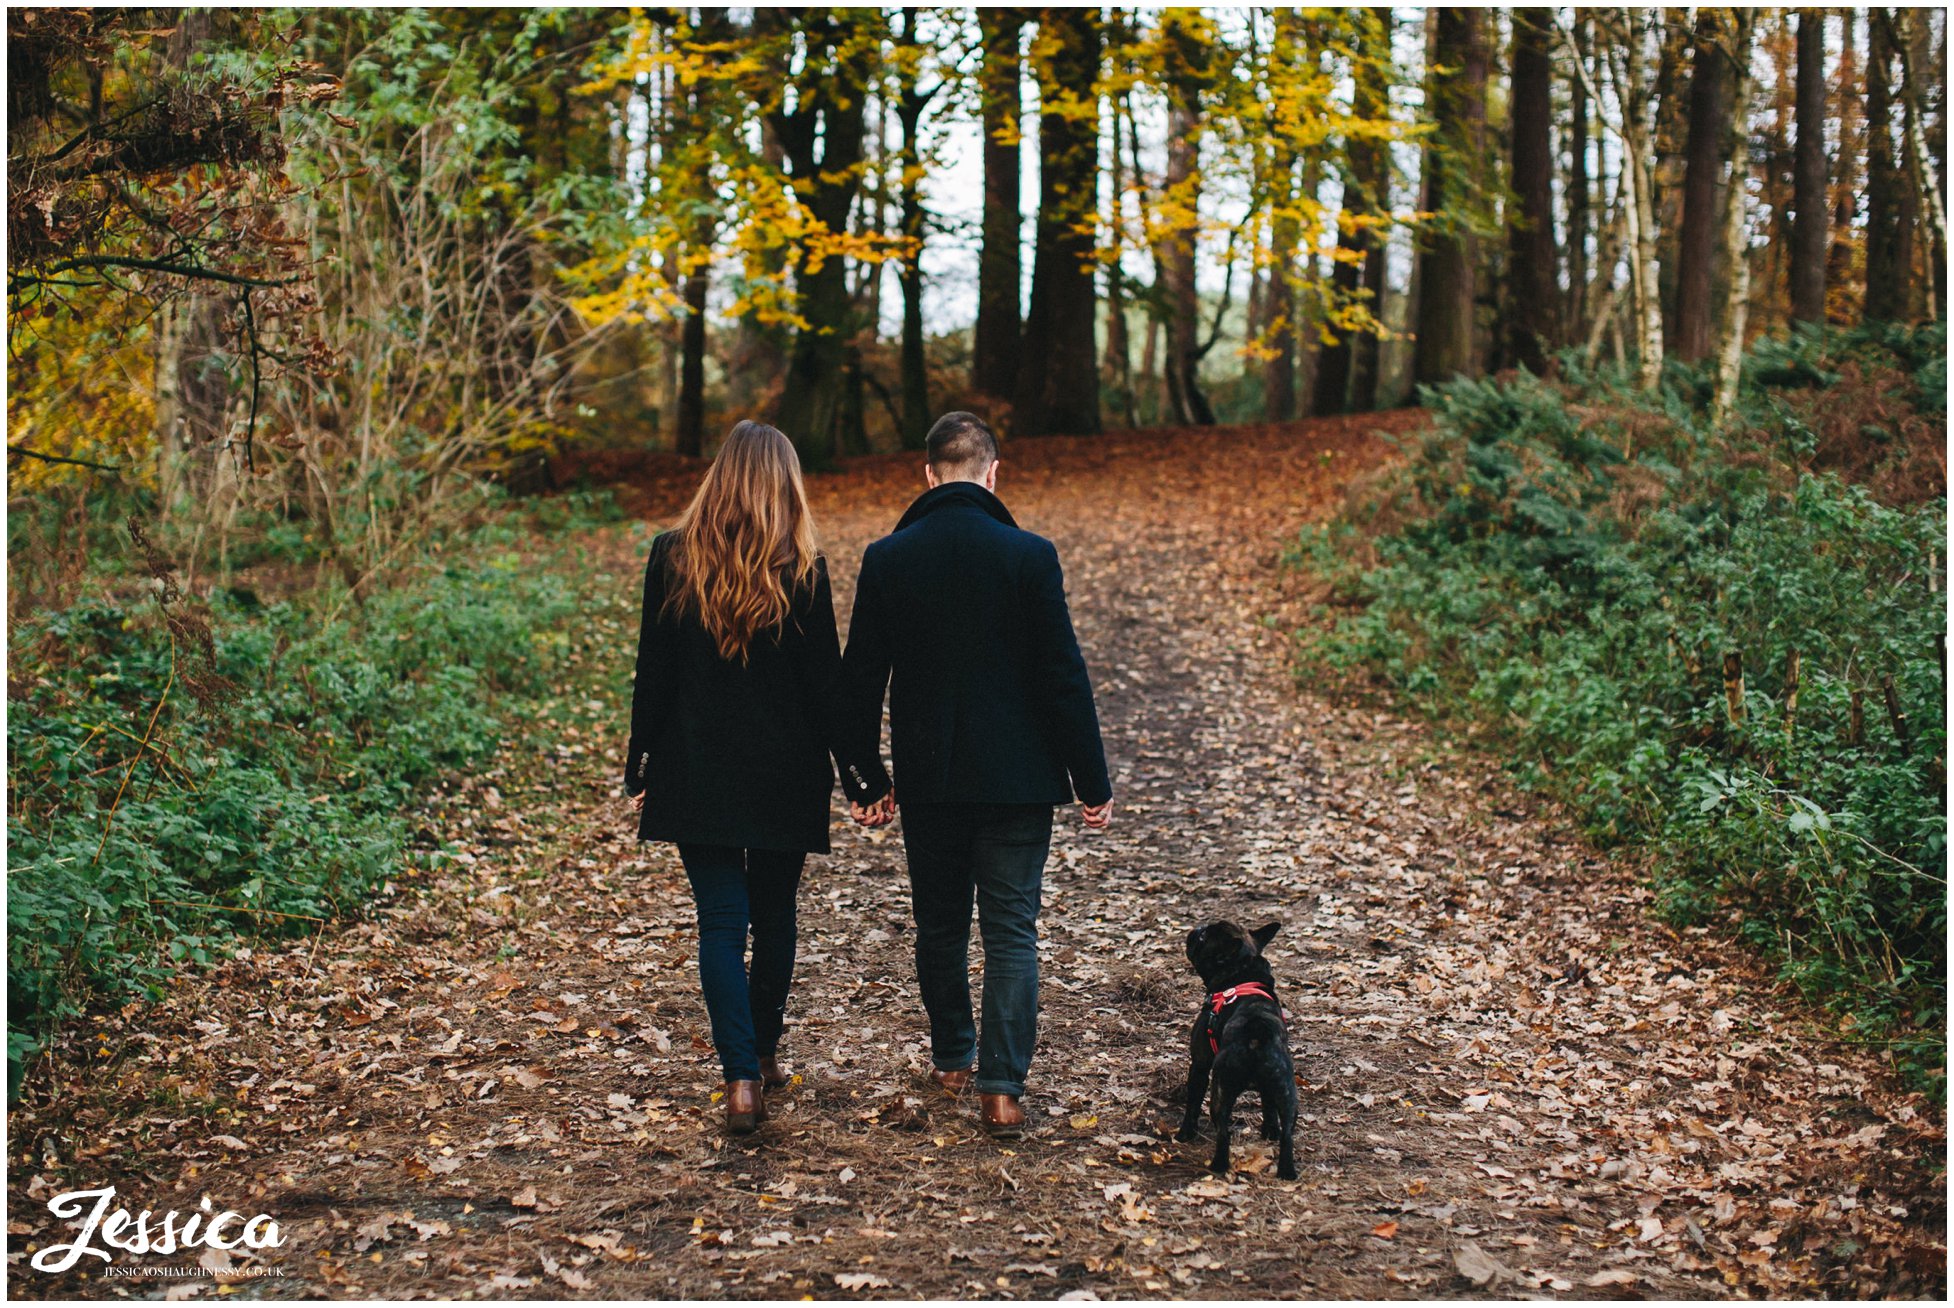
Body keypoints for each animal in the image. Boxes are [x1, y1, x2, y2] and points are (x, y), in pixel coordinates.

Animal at [1172, 915, 1297, 1180]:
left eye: (1203, 937)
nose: (1198, 927)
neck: (1242, 973)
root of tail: (1256, 1033)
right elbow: (1269, 1107)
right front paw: (1269, 1130)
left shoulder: (1199, 1064)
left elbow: (1193, 1102)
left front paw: (1185, 1134)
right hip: (1288, 1091)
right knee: (1288, 1136)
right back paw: (1287, 1172)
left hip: (1221, 1089)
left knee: (1223, 1132)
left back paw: (1218, 1165)